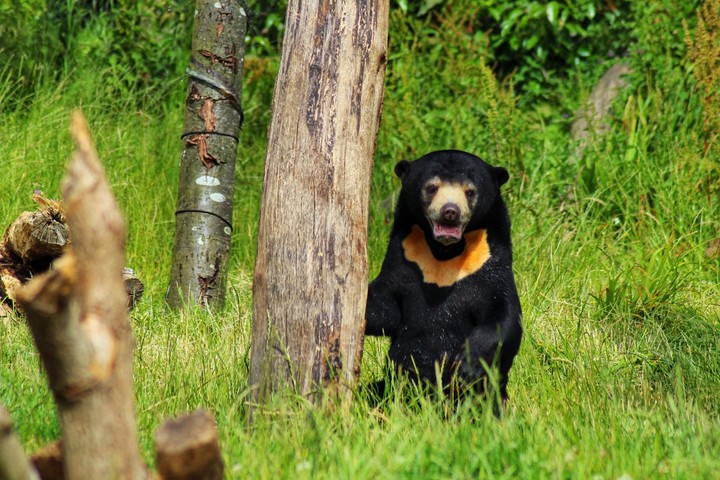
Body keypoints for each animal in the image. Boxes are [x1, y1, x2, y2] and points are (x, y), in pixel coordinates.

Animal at [365, 150, 522, 402]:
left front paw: (466, 367)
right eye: (432, 187)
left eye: (470, 191)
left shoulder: (490, 265)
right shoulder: (404, 259)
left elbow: (504, 315)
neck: (444, 253)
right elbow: (385, 307)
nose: (450, 212)